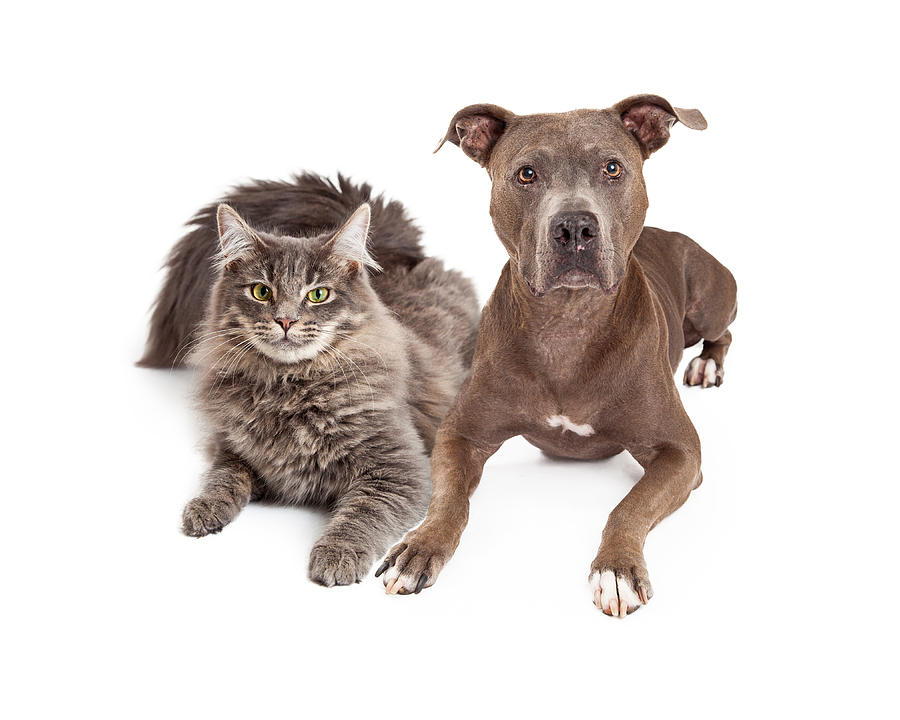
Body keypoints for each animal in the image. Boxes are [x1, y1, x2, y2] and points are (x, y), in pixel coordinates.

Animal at [141, 174, 478, 584]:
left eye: (317, 295)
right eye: (261, 291)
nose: (286, 320)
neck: (290, 389)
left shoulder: (398, 470)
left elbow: (361, 515)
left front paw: (337, 555)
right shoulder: (235, 448)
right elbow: (223, 477)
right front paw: (204, 508)